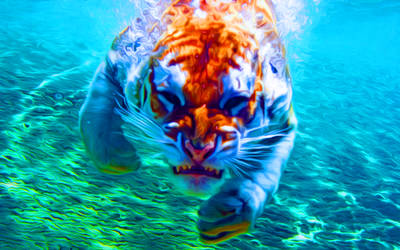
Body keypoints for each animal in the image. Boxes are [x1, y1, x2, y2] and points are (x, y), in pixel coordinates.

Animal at [79, 0, 296, 244]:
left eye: (235, 101)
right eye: (171, 98)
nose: (198, 150)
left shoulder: (284, 121)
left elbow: (264, 176)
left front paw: (229, 214)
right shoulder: (117, 59)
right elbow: (94, 109)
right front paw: (119, 157)